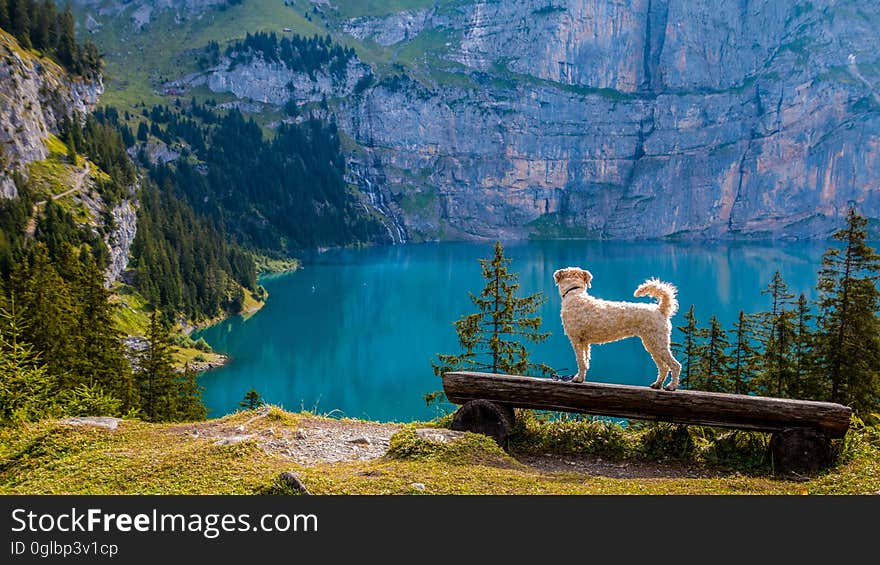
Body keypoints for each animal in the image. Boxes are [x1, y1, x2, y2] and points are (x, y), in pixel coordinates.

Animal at [552, 266, 684, 390]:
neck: (574, 294)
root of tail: (661, 310)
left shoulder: (576, 339)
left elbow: (580, 361)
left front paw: (578, 378)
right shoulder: (584, 342)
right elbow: (585, 361)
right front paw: (581, 378)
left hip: (657, 343)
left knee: (675, 365)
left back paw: (671, 386)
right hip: (651, 344)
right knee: (664, 367)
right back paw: (657, 384)